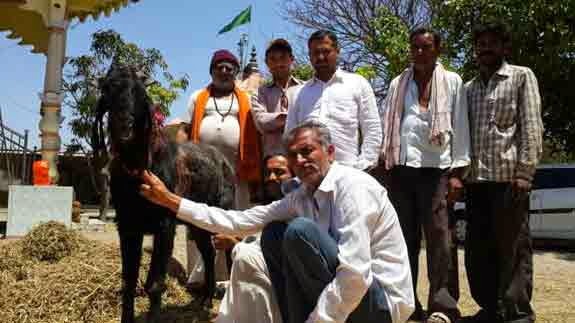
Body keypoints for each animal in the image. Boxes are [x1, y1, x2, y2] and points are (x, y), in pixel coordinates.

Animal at [93, 64, 233, 323]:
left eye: (140, 93)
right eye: (108, 90)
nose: (124, 126)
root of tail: (223, 160)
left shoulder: (165, 225)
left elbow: (155, 283)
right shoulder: (127, 225)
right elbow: (129, 282)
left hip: (224, 211)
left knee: (226, 248)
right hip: (197, 224)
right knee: (208, 252)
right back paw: (205, 300)